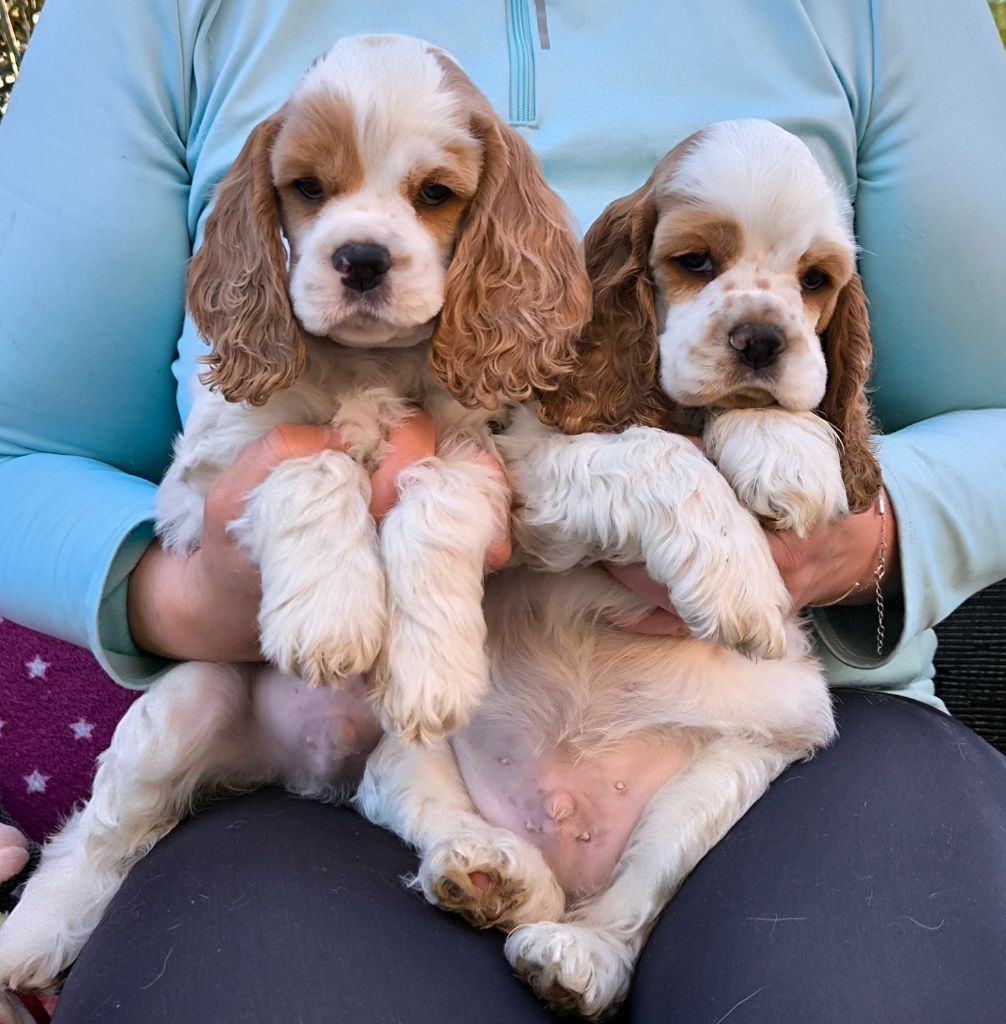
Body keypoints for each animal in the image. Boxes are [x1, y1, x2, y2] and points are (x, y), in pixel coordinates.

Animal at [0, 36, 590, 995]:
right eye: (309, 187)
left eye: (435, 194)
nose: (361, 258)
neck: (368, 365)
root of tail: (302, 772)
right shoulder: (209, 481)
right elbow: (313, 463)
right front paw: (332, 614)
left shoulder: (484, 453)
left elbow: (437, 492)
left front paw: (430, 658)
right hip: (190, 699)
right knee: (102, 833)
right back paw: (31, 936)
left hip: (413, 751)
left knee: (416, 801)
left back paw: (492, 870)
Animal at [354, 119, 881, 1015]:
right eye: (695, 261)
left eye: (816, 281)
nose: (763, 340)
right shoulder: (525, 460)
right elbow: (654, 451)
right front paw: (738, 574)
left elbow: (759, 423)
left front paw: (784, 451)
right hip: (408, 748)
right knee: (433, 809)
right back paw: (487, 872)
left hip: (723, 777)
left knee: (630, 903)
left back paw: (575, 955)